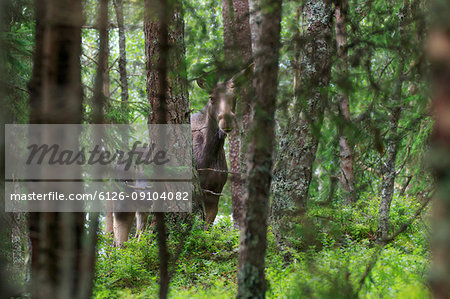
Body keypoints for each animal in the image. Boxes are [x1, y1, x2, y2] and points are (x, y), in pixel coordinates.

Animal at [106, 73, 241, 246]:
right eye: (211, 97)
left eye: (234, 97)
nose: (226, 121)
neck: (211, 153)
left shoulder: (215, 193)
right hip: (122, 202)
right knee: (119, 243)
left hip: (140, 206)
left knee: (137, 236)